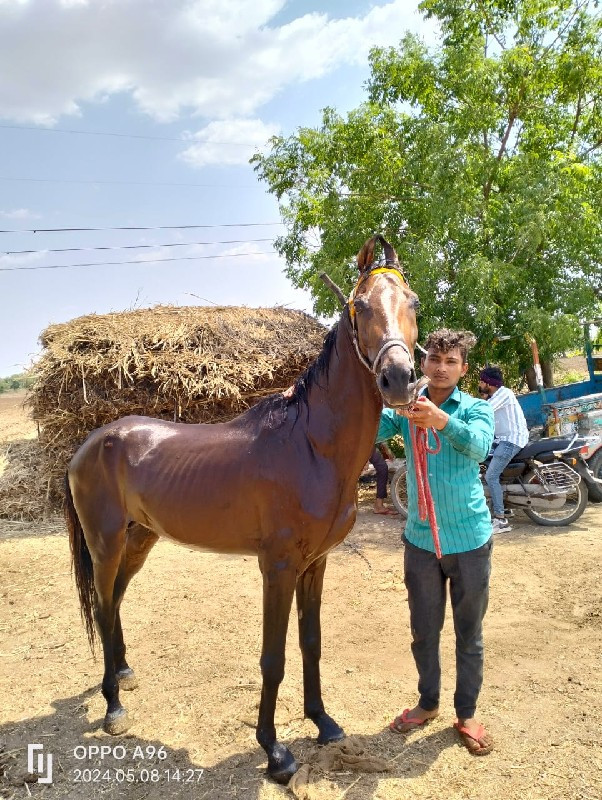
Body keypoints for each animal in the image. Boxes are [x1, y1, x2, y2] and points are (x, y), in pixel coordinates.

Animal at [64, 234, 418, 784]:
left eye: (413, 302)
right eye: (360, 306)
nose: (398, 378)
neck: (310, 445)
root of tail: (89, 444)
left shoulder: (315, 564)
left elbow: (311, 642)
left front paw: (323, 722)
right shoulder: (278, 566)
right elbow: (273, 657)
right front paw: (274, 751)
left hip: (139, 538)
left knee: (116, 600)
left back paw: (123, 672)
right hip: (105, 542)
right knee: (102, 606)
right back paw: (113, 707)